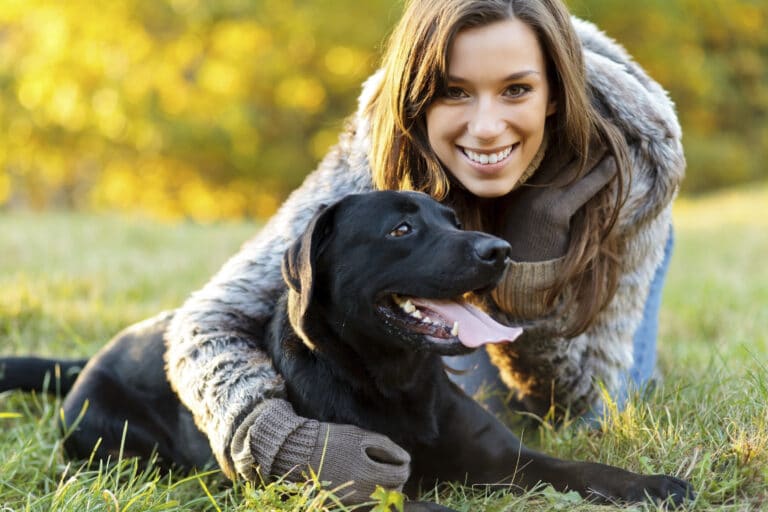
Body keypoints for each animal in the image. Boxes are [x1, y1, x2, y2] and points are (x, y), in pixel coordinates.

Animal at [0, 192, 692, 508]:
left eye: (452, 218)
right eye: (401, 228)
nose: (498, 250)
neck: (397, 384)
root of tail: (89, 358)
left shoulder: (510, 458)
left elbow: (586, 470)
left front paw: (655, 484)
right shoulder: (361, 489)